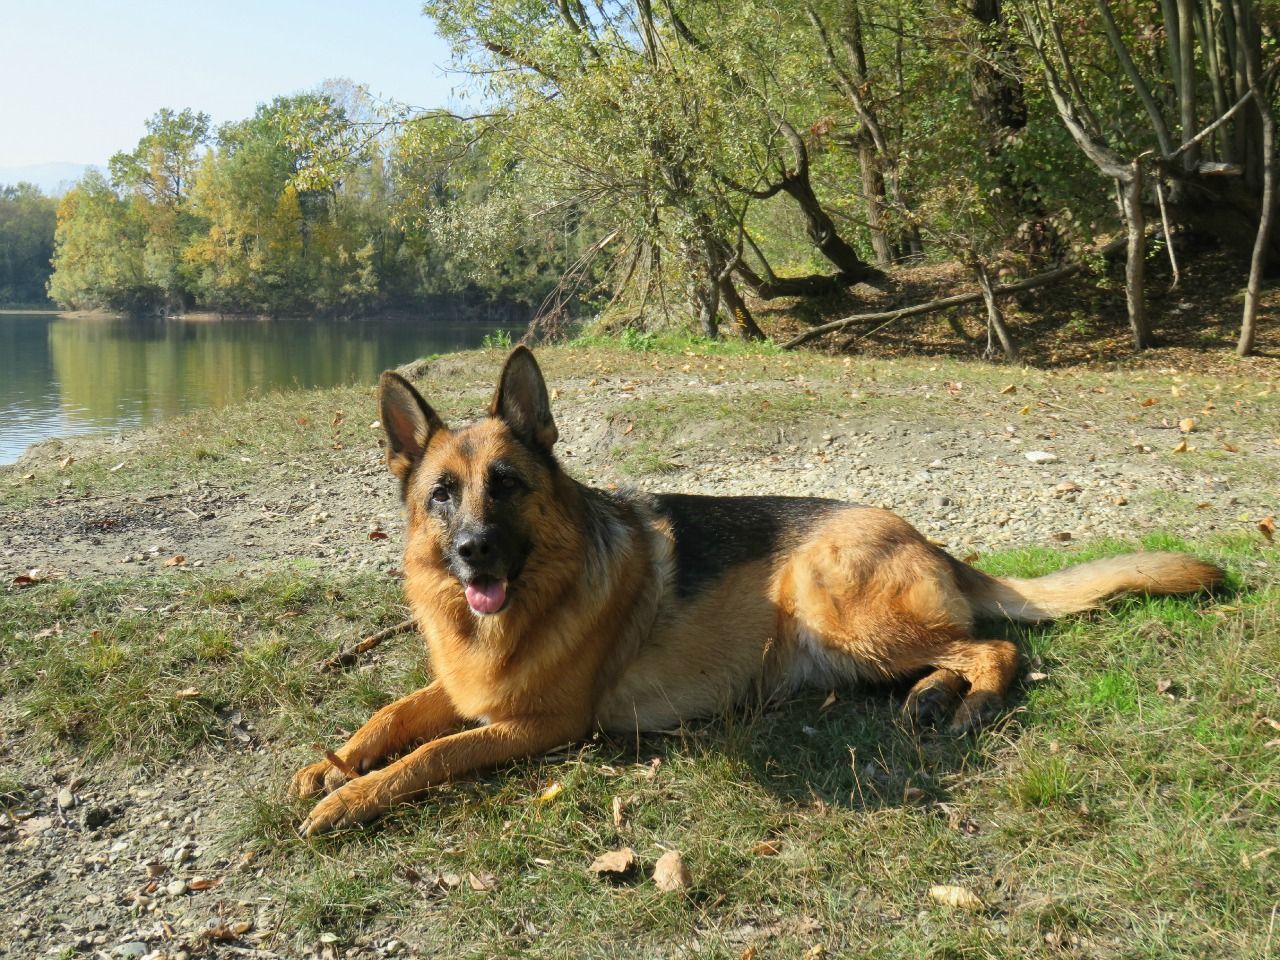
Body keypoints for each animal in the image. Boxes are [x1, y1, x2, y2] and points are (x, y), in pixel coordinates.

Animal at [293, 348, 1218, 834]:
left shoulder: (542, 725)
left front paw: (354, 796)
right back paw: (928, 697)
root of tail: (929, 539)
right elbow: (394, 716)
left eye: (509, 485)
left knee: (997, 646)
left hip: (824, 593)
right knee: (955, 653)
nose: (475, 553)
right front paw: (330, 764)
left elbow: (431, 753)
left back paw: (970, 704)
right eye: (442, 496)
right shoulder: (465, 690)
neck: (517, 606)